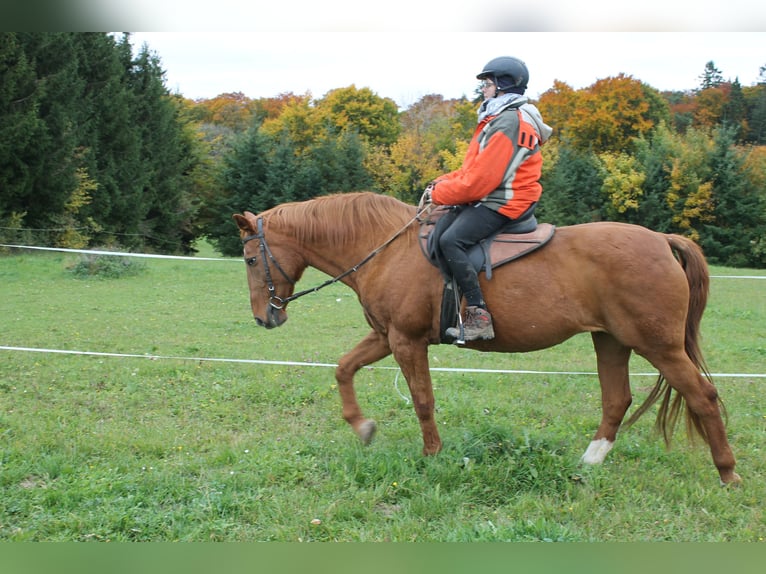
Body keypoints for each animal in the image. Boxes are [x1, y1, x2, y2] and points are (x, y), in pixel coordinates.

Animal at [233, 191, 740, 485]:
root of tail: (661, 240)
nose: (264, 317)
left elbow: (422, 401)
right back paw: (589, 462)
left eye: (251, 260)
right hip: (612, 341)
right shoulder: (385, 336)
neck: (386, 247)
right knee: (617, 399)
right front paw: (362, 426)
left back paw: (728, 473)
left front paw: (432, 455)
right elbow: (344, 368)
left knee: (703, 396)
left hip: (659, 346)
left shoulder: (406, 341)